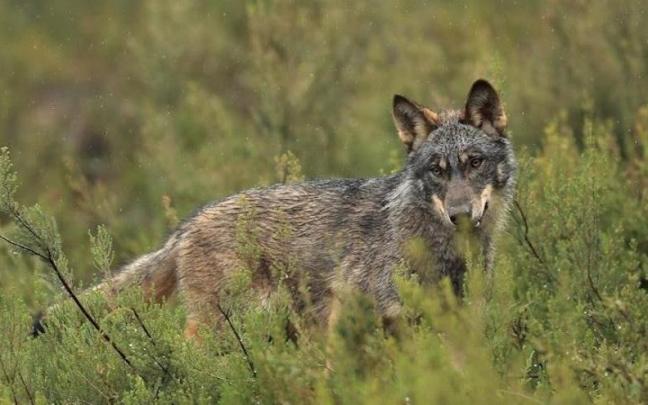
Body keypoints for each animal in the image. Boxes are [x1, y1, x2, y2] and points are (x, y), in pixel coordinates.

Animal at [35, 79, 516, 338]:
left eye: (474, 163)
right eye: (437, 170)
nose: (459, 215)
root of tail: (186, 225)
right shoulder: (360, 316)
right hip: (223, 326)